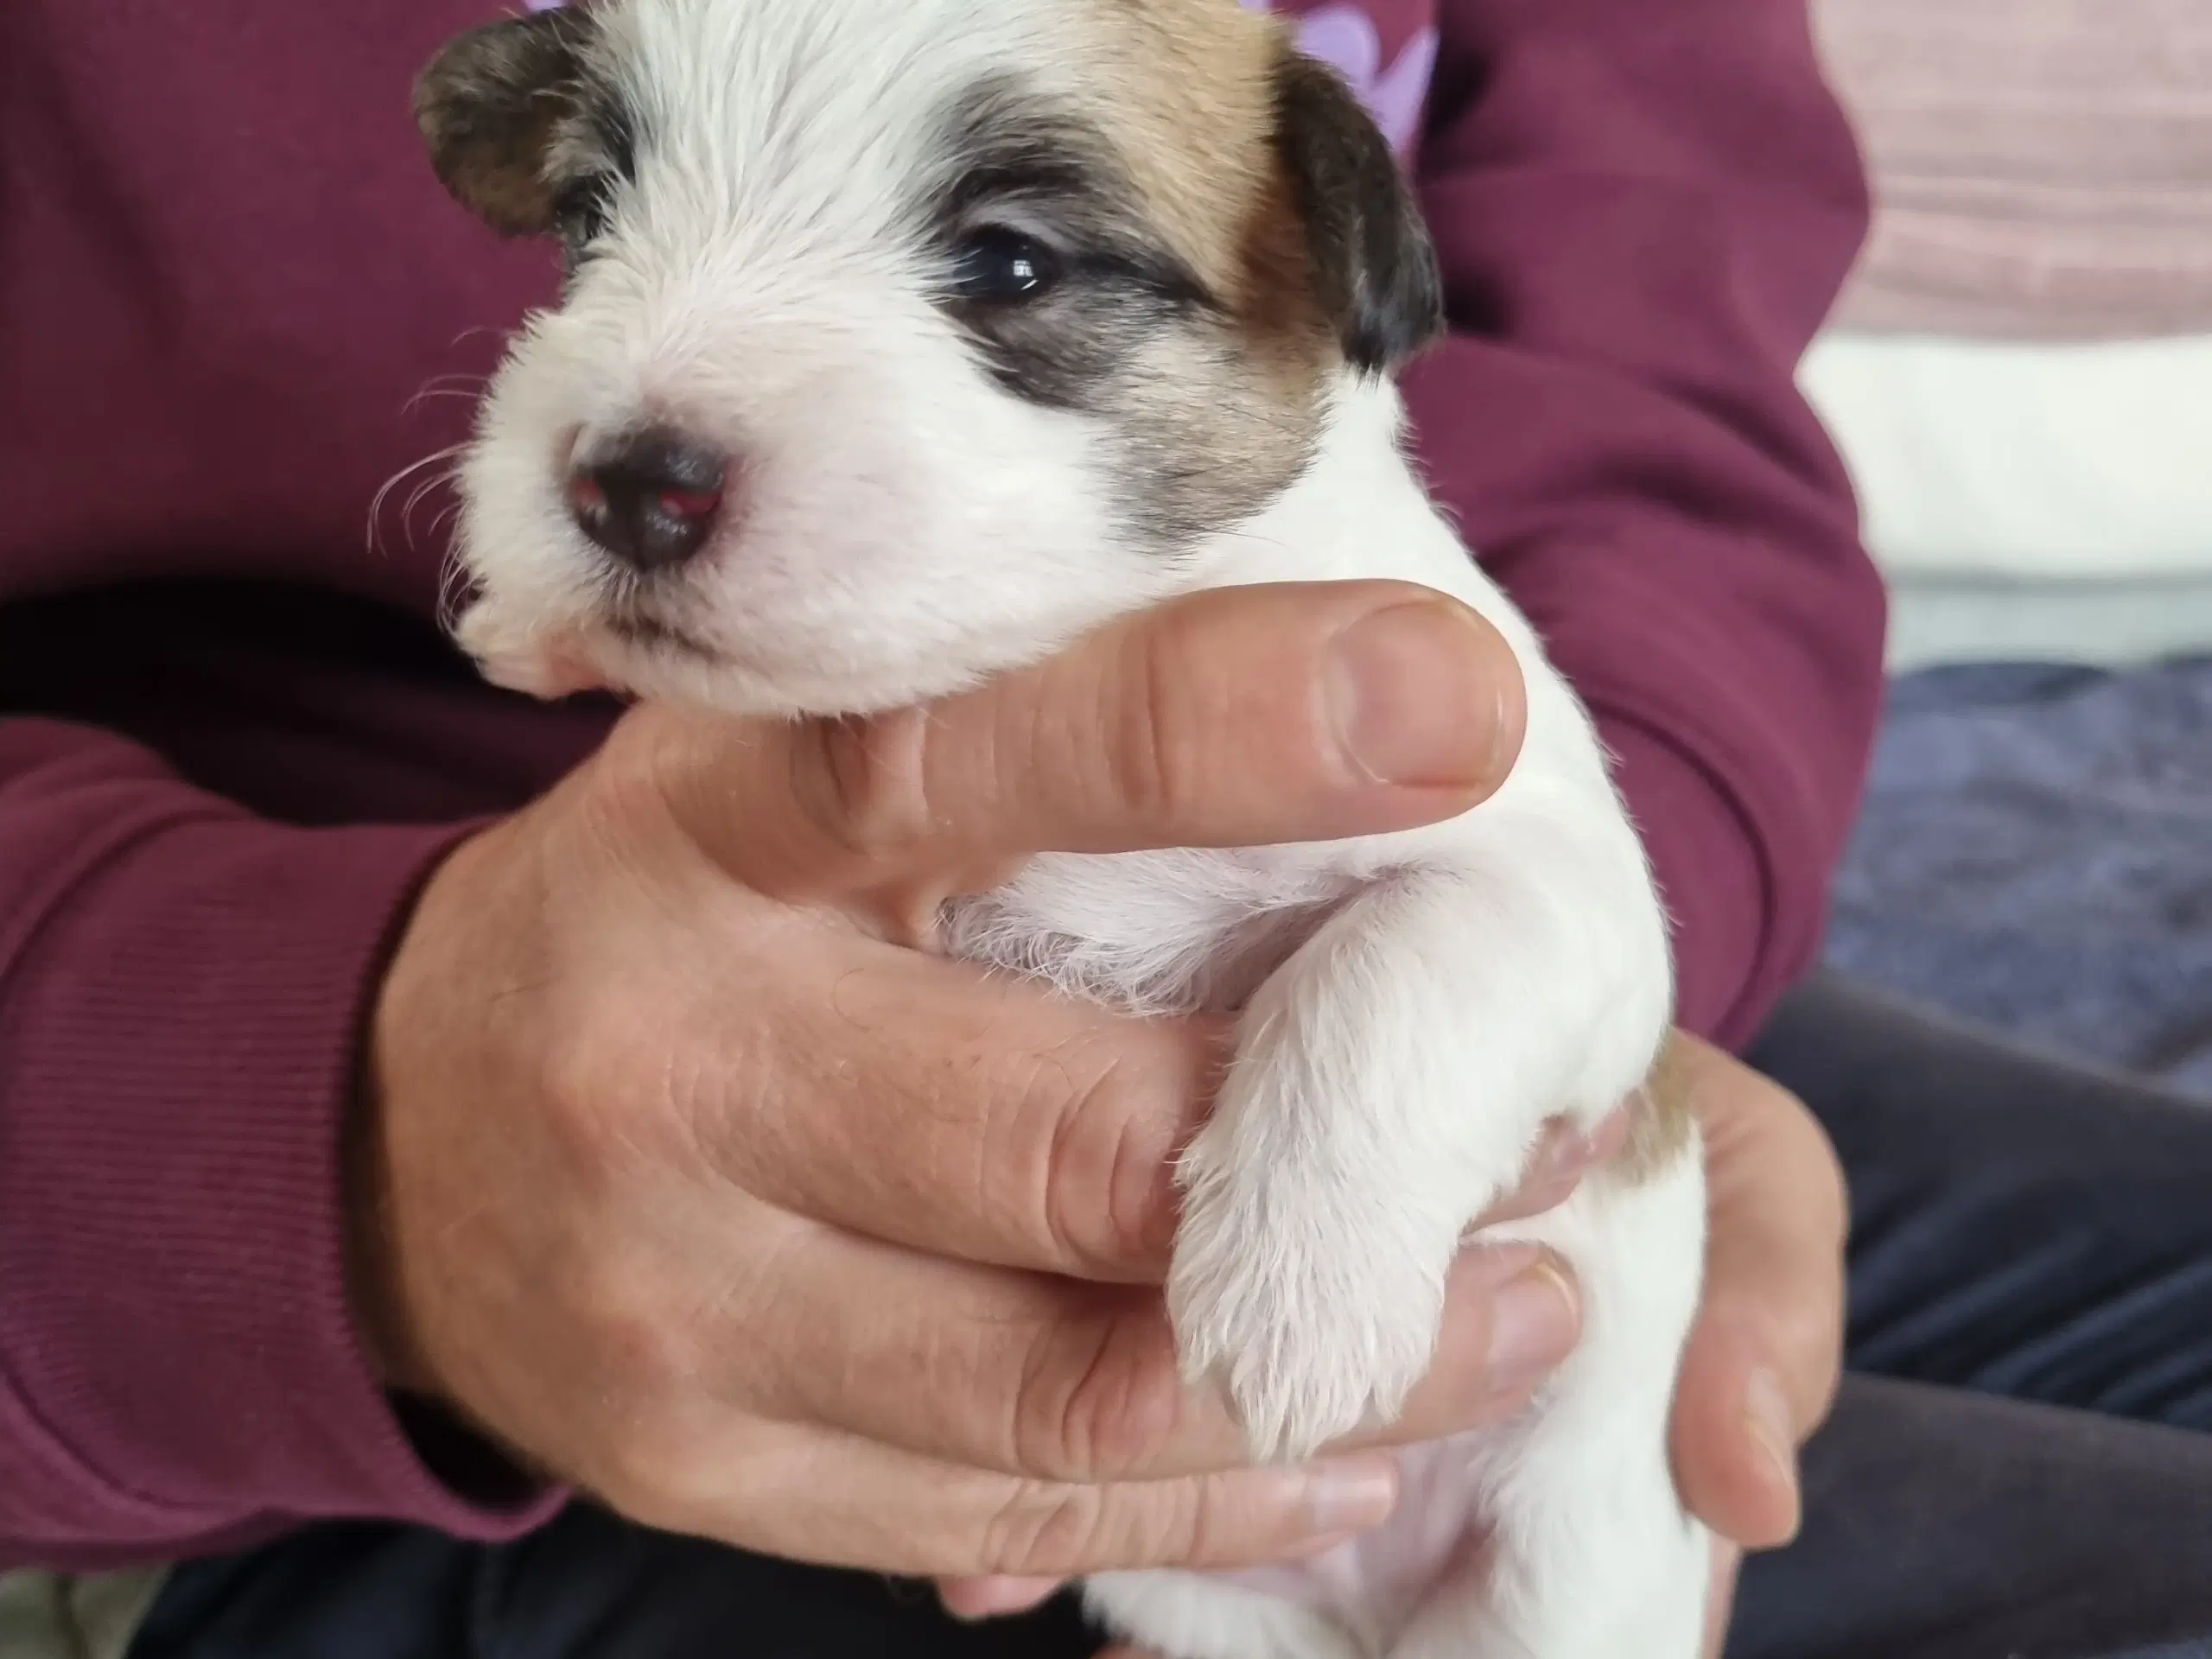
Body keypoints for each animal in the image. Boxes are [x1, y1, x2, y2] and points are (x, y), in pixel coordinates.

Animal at [416, 0, 1699, 1654]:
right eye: (588, 216)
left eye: (1011, 264)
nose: (625, 485)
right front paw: (526, 627)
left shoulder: (1561, 876)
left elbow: (1413, 949)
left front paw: (1304, 1283)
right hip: (1198, 1601)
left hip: (1560, 1585)